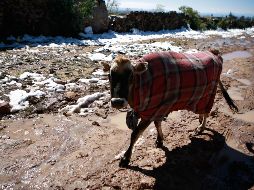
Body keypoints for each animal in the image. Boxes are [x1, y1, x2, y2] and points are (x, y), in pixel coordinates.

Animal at [102, 49, 237, 167]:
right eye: (109, 75)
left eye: (131, 75)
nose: (117, 101)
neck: (144, 81)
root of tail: (214, 53)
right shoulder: (158, 108)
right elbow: (157, 124)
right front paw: (159, 140)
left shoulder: (150, 112)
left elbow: (135, 134)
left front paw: (126, 158)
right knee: (202, 111)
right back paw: (199, 120)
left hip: (210, 93)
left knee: (206, 113)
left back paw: (201, 127)